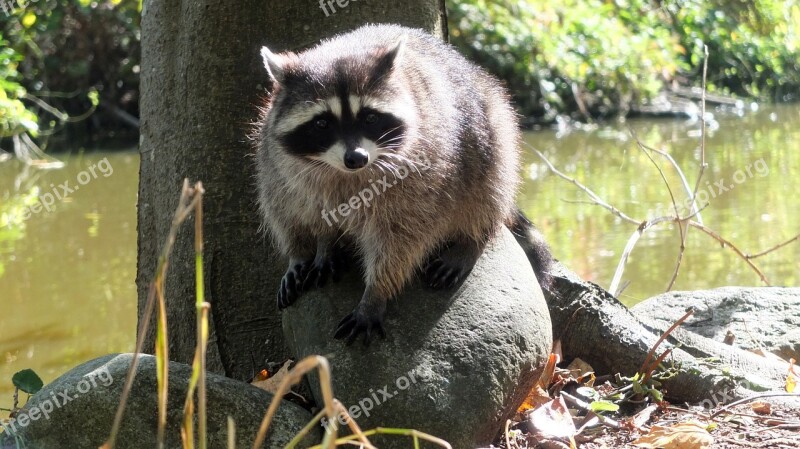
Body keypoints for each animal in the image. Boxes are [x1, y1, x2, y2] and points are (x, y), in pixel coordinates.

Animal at [255, 23, 552, 344]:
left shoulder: (420, 177)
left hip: (491, 129)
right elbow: (289, 213)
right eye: (322, 123)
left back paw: (471, 240)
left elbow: (401, 239)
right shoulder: (275, 166)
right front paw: (305, 251)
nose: (356, 158)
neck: (342, 172)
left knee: (489, 187)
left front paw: (375, 293)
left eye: (370, 118)